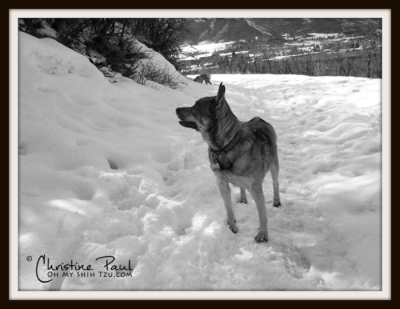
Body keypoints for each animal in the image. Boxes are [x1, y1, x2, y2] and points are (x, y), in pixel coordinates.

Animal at [175, 83, 282, 242]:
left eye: (195, 107)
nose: (176, 109)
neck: (226, 147)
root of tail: (258, 118)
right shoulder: (221, 183)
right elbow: (228, 207)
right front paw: (232, 226)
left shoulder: (256, 189)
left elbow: (262, 214)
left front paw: (262, 234)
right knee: (242, 187)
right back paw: (243, 198)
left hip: (274, 165)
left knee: (275, 182)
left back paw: (276, 200)